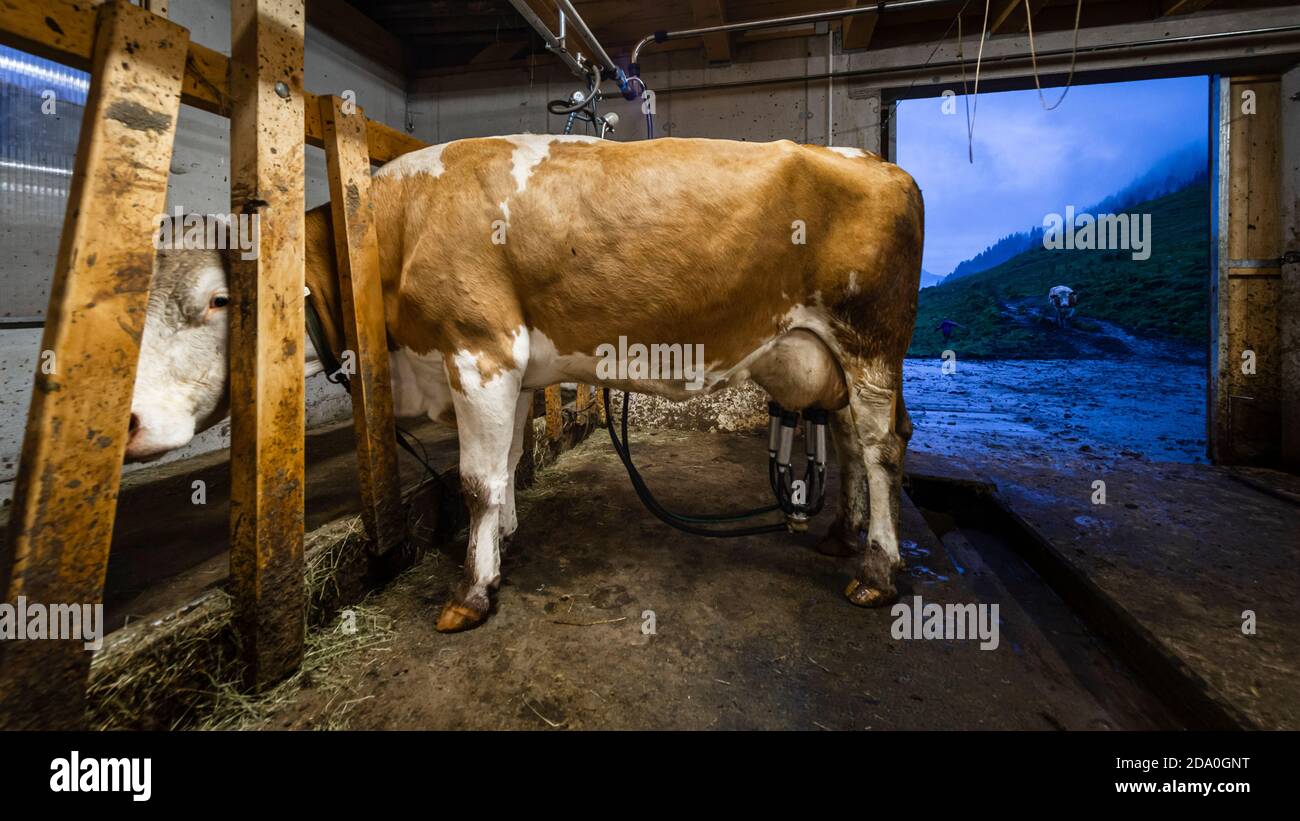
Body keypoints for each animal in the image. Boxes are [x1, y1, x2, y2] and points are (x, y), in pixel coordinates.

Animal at [126, 136, 925, 633]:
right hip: (833, 356)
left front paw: (472, 591)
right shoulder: (501, 371)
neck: (398, 226)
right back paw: (842, 536)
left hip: (870, 342)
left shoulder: (480, 349)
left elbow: (477, 479)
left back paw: (878, 569)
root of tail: (881, 164)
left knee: (883, 446)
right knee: (851, 440)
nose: (127, 424)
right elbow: (507, 463)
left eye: (219, 300)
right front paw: (504, 537)